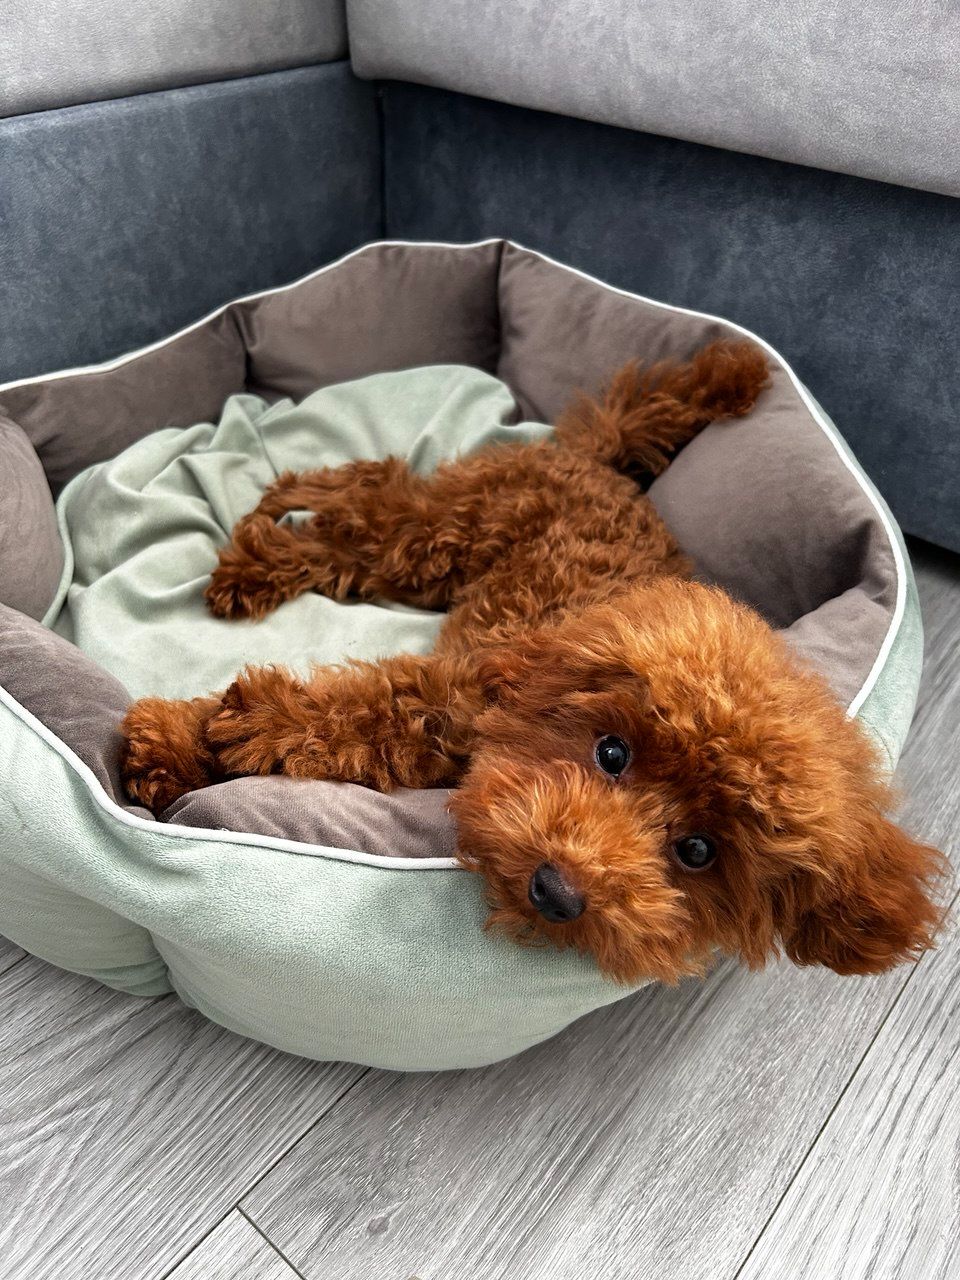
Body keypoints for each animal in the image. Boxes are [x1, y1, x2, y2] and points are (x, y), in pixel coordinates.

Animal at [120, 341, 945, 984]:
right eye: (611, 752)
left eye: (698, 851)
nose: (557, 892)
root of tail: (596, 462)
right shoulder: (452, 693)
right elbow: (335, 710)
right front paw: (184, 739)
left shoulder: (440, 718)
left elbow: (355, 729)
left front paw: (191, 747)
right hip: (440, 538)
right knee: (369, 498)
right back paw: (262, 545)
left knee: (355, 521)